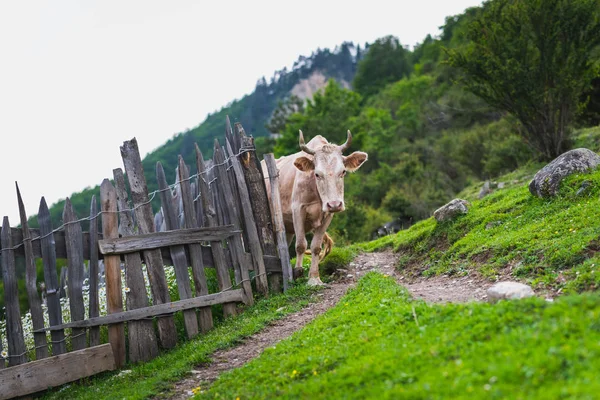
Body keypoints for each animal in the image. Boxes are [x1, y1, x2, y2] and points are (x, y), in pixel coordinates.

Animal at [264, 130, 370, 286]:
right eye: (317, 174)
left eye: (343, 172)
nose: (335, 204)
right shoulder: (298, 210)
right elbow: (301, 244)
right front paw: (298, 272)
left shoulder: (328, 215)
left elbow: (315, 246)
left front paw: (314, 278)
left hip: (287, 228)